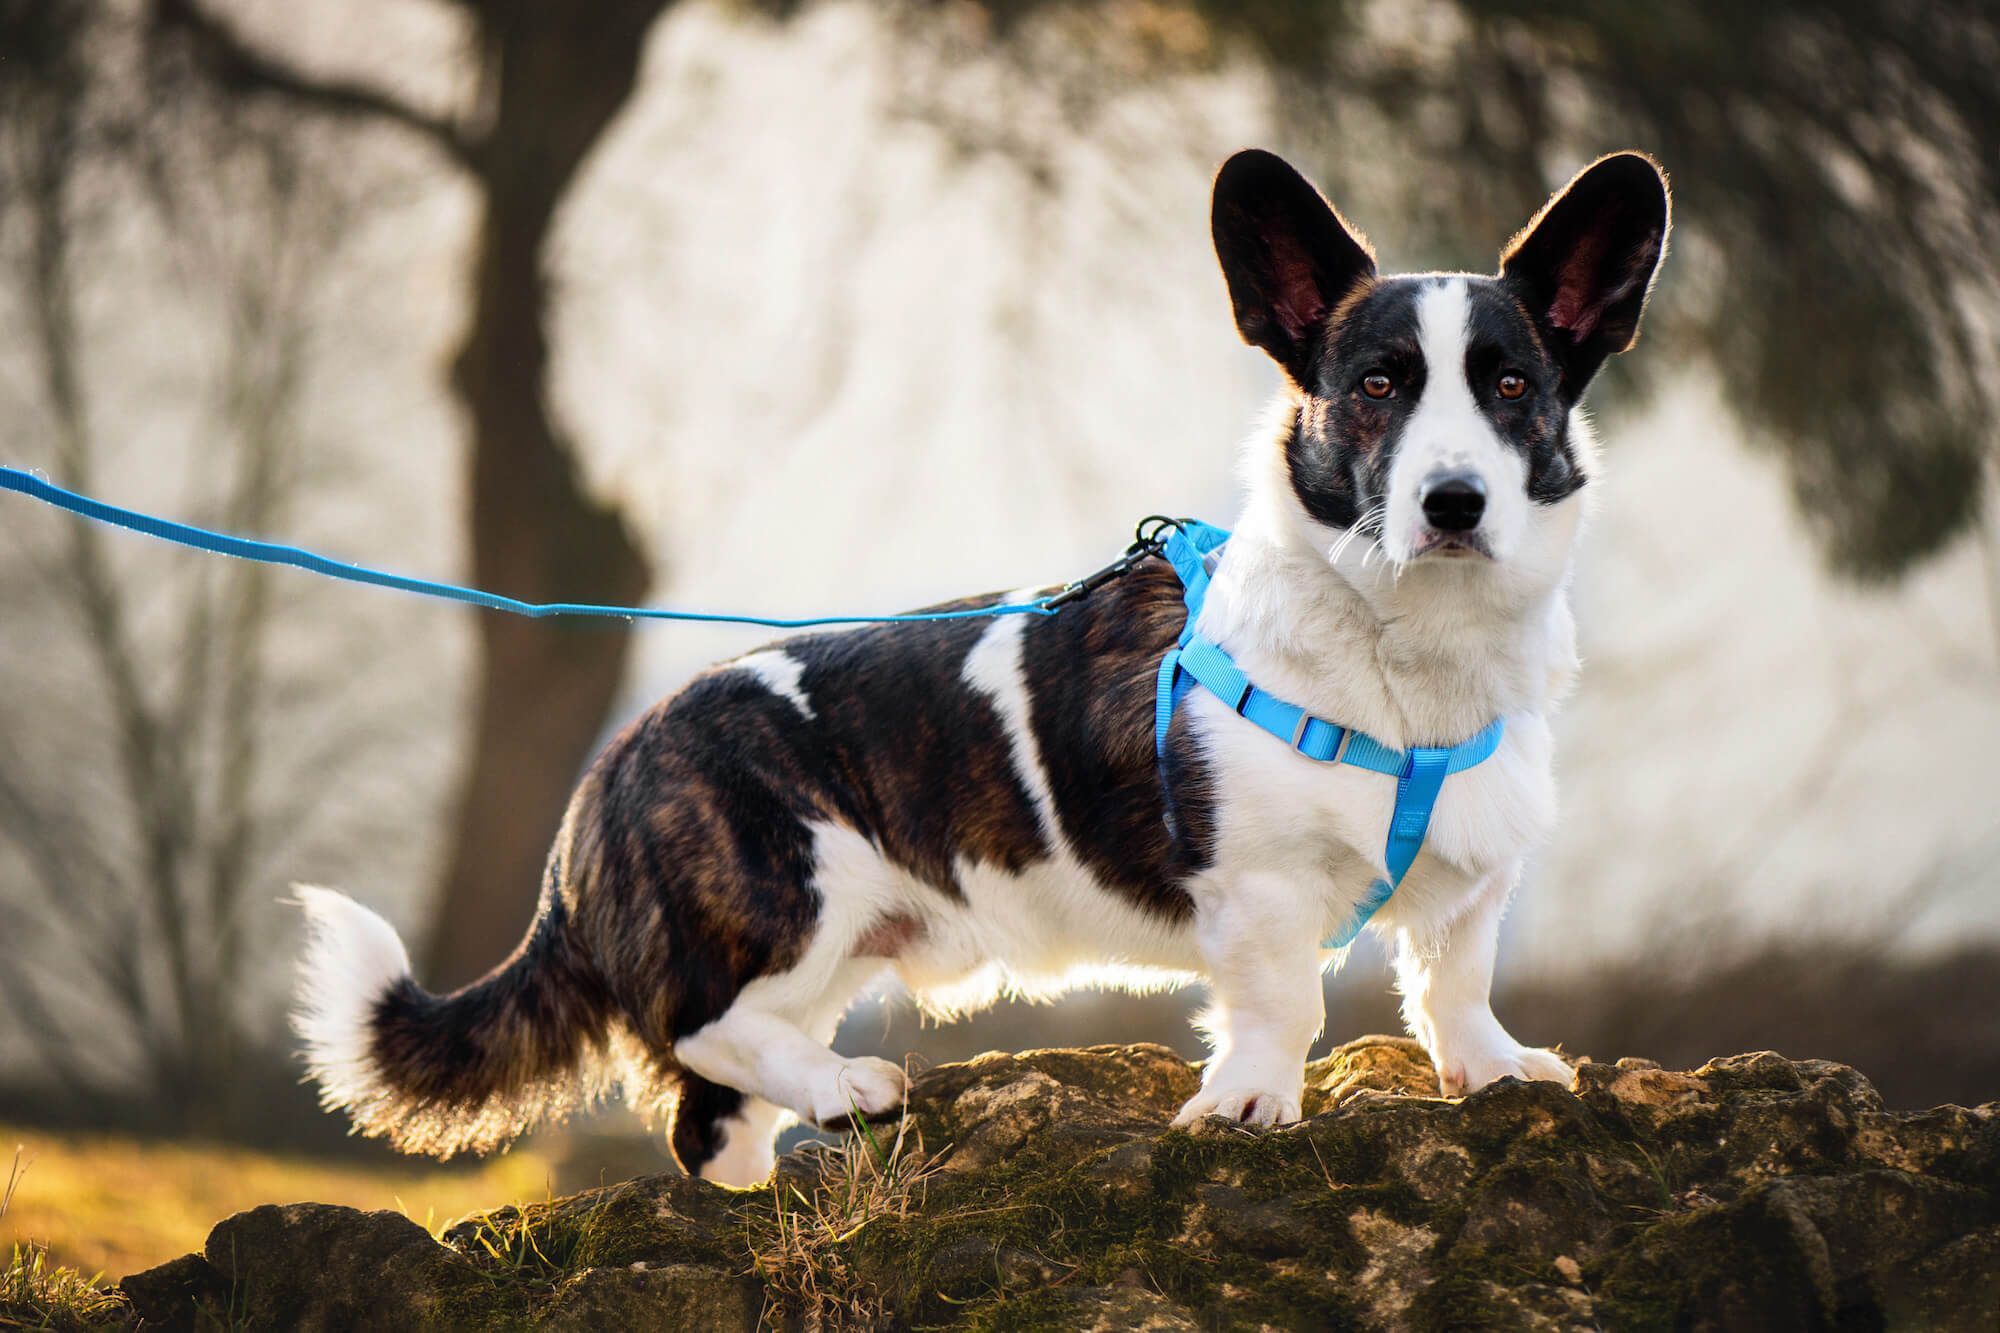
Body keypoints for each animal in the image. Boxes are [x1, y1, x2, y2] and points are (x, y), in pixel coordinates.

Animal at [292, 148, 1672, 1184]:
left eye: (1509, 386)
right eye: (1377, 385)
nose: (1452, 503)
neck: (1409, 647)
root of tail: (604, 778)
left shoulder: (1471, 885)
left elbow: (1454, 985)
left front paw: (1493, 1074)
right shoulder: (1260, 890)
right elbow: (1283, 1005)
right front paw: (1246, 1107)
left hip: (821, 952)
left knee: (707, 1119)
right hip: (787, 902)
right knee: (710, 1032)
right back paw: (849, 1087)